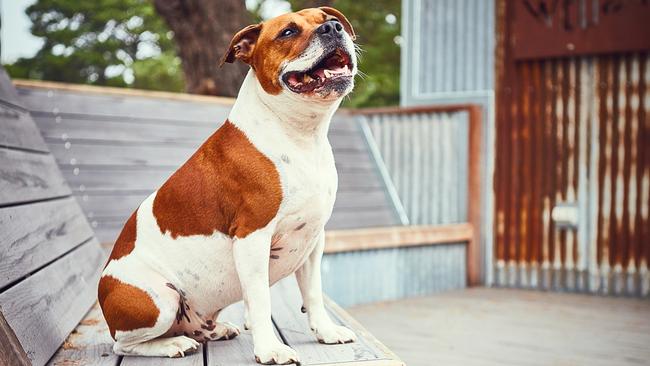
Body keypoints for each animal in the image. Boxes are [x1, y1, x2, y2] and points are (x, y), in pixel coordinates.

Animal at [98, 6, 356, 366]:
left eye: (327, 18)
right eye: (288, 32)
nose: (332, 28)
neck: (300, 134)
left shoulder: (312, 239)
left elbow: (314, 292)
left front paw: (326, 332)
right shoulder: (252, 238)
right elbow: (260, 300)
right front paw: (270, 349)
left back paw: (214, 330)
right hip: (158, 299)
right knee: (124, 344)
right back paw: (170, 344)